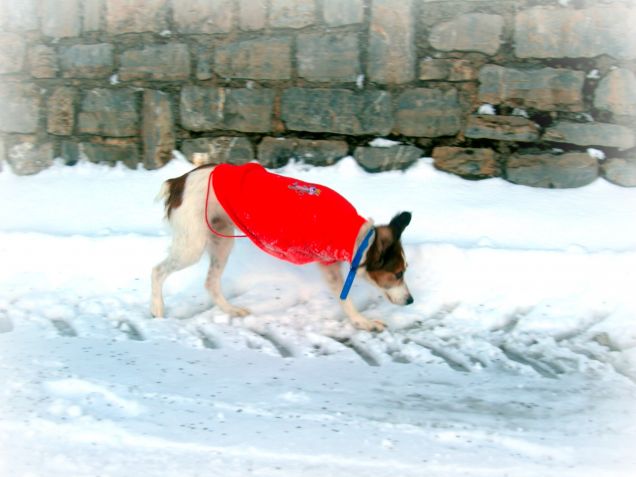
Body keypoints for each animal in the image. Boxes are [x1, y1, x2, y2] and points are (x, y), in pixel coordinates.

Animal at [152, 161, 414, 330]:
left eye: (404, 272)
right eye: (397, 274)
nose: (411, 300)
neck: (356, 236)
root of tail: (179, 181)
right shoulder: (329, 266)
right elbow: (345, 300)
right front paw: (363, 323)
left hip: (221, 240)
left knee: (211, 283)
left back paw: (231, 310)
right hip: (192, 245)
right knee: (157, 270)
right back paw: (157, 309)